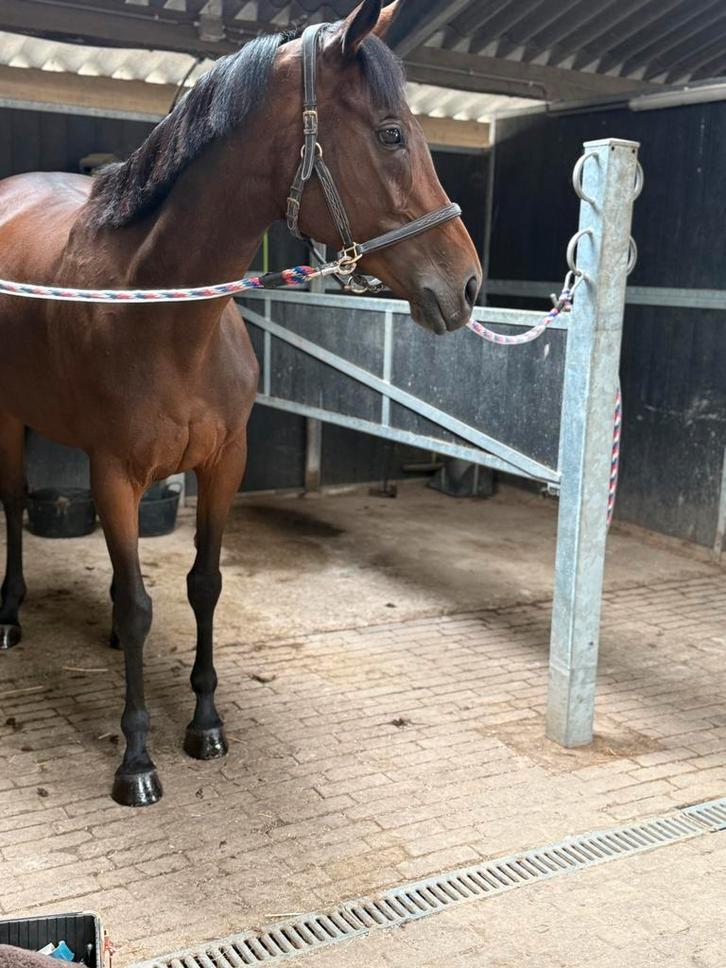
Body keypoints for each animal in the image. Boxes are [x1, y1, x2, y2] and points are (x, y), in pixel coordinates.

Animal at [0, 0, 482, 807]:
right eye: (391, 133)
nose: (469, 285)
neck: (162, 314)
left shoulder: (226, 463)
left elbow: (203, 585)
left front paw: (206, 722)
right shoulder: (115, 473)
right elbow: (139, 604)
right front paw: (137, 759)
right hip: (7, 415)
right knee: (11, 505)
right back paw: (8, 615)